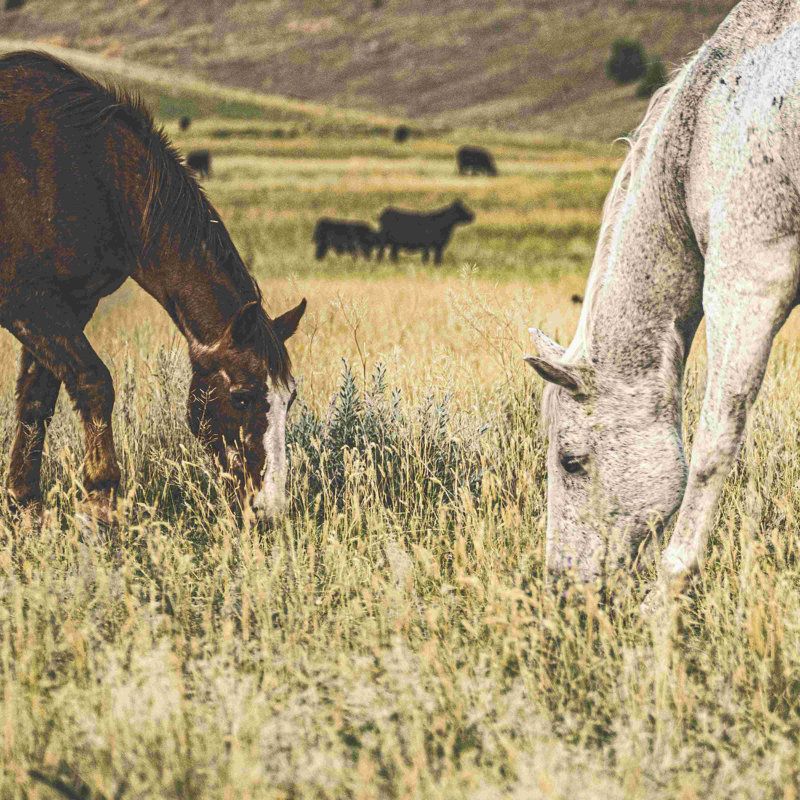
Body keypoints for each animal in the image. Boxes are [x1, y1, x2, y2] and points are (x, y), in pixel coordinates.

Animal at [0, 51, 306, 528]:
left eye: (289, 399)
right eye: (241, 397)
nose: (268, 509)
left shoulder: (68, 305)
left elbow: (36, 398)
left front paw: (24, 504)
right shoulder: (26, 303)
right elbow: (93, 382)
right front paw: (101, 500)